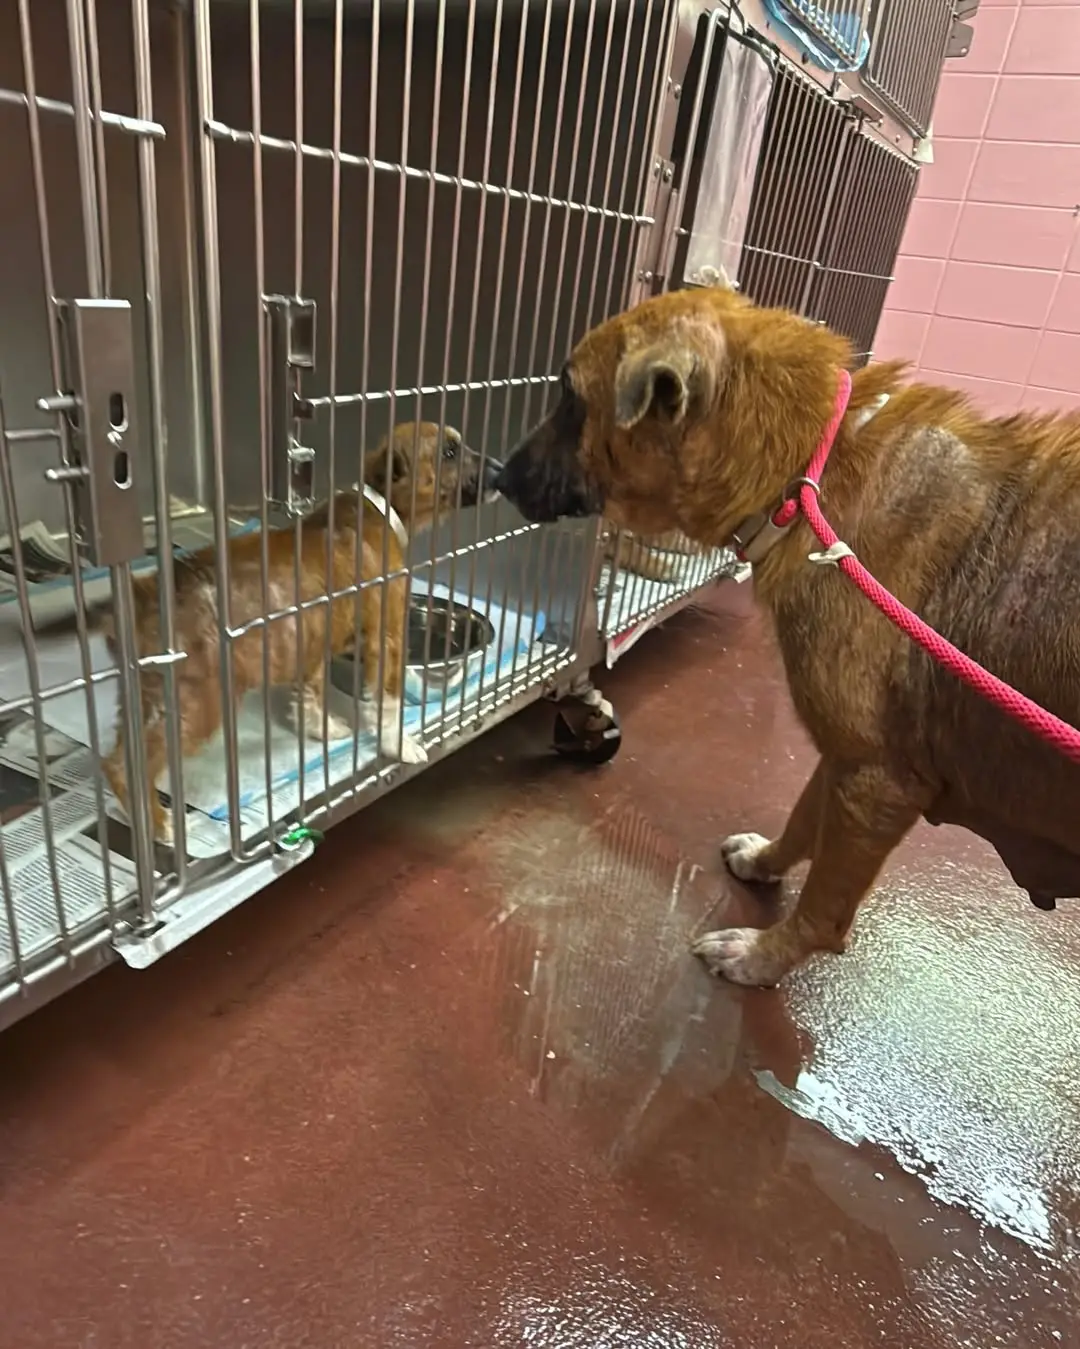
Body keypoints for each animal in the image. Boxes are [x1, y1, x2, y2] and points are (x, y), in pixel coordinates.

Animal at [35, 421, 497, 845]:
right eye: (450, 451)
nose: (498, 470)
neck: (380, 507)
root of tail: (145, 590)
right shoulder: (387, 639)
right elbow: (387, 706)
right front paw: (401, 746)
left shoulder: (310, 645)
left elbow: (308, 698)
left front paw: (323, 731)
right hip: (196, 702)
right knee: (128, 764)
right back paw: (161, 827)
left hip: (146, 694)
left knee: (120, 755)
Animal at [495, 285, 1080, 988]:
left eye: (570, 397)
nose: (495, 476)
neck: (809, 470)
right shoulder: (844, 758)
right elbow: (804, 820)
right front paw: (767, 861)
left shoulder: (877, 783)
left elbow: (825, 908)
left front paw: (763, 956)